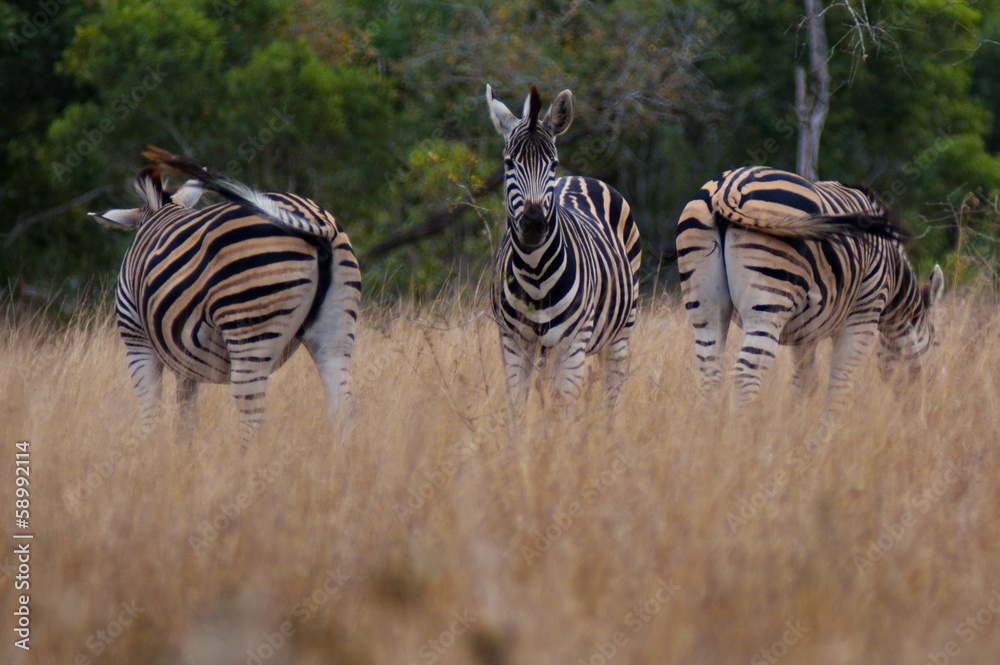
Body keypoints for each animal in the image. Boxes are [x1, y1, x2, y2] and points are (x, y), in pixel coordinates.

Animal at [89, 148, 361, 441]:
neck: (161, 212)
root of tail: (315, 223)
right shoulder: (182, 357)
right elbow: (185, 413)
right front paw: (181, 448)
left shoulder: (137, 340)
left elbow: (151, 411)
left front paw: (150, 447)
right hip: (335, 331)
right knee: (343, 409)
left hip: (249, 329)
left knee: (252, 417)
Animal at [486, 84, 641, 415]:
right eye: (509, 163)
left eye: (552, 164)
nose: (533, 223)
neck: (534, 272)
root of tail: (580, 177)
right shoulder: (513, 343)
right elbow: (518, 407)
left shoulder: (572, 346)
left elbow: (563, 411)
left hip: (621, 331)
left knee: (612, 395)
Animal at [676, 165, 943, 429]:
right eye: (934, 347)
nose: (922, 414)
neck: (893, 273)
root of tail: (727, 189)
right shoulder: (864, 313)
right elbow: (839, 384)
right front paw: (825, 435)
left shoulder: (803, 333)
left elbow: (805, 383)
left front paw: (798, 427)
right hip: (768, 301)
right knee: (745, 375)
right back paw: (737, 438)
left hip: (706, 303)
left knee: (711, 374)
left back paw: (709, 436)